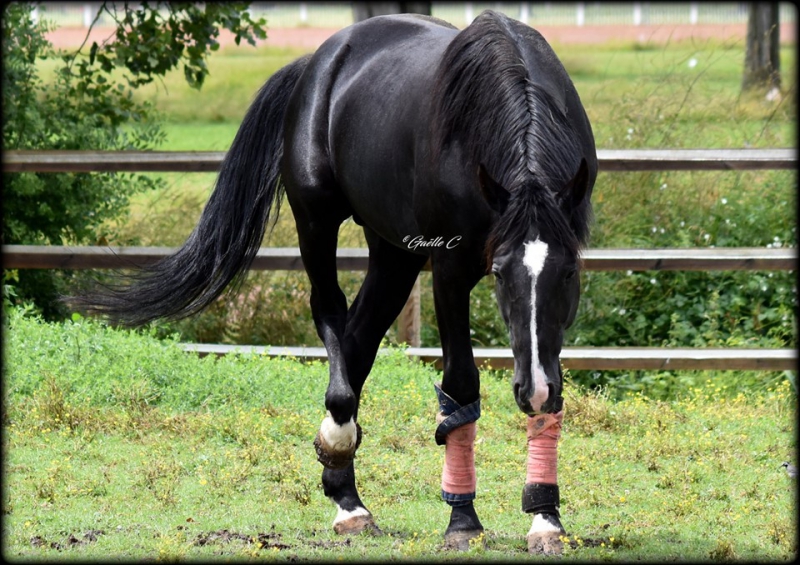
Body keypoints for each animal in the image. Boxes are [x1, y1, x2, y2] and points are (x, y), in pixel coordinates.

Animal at [73, 11, 592, 552]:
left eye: (569, 272)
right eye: (499, 273)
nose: (531, 390)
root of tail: (316, 60)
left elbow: (550, 387)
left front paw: (545, 517)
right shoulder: (450, 272)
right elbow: (460, 385)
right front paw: (463, 521)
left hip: (395, 252)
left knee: (358, 337)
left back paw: (346, 491)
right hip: (317, 221)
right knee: (330, 312)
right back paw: (342, 464)